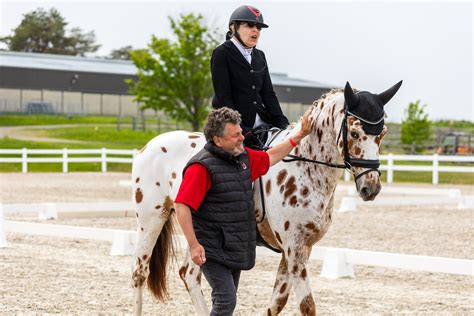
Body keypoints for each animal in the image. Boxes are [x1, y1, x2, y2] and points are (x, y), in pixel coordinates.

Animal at [131, 80, 404, 314]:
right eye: (355, 134)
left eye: (382, 134)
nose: (371, 187)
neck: (306, 167)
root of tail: (148, 146)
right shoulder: (294, 248)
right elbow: (307, 305)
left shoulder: (299, 248)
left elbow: (276, 303)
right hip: (151, 219)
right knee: (139, 274)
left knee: (188, 273)